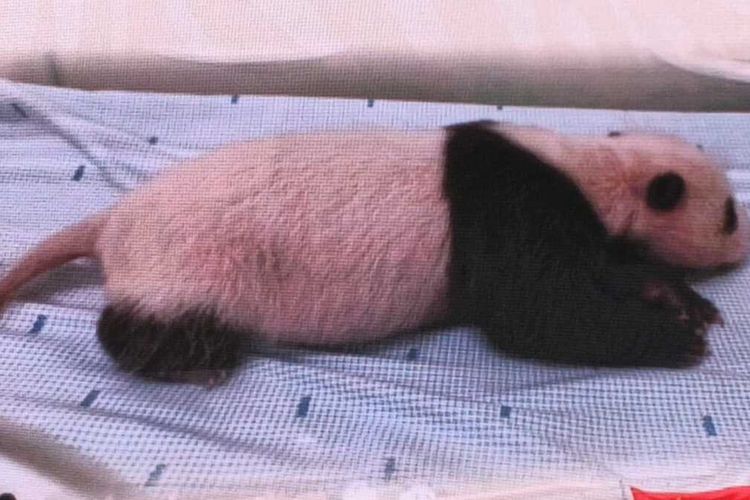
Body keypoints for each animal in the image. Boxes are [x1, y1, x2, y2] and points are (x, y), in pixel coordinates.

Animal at [0, 120, 747, 384]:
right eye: (731, 213)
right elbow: (533, 308)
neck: (595, 169)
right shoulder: (507, 209)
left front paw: (680, 299)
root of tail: (112, 222)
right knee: (146, 322)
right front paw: (670, 337)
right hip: (188, 263)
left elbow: (601, 271)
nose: (744, 243)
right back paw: (192, 359)